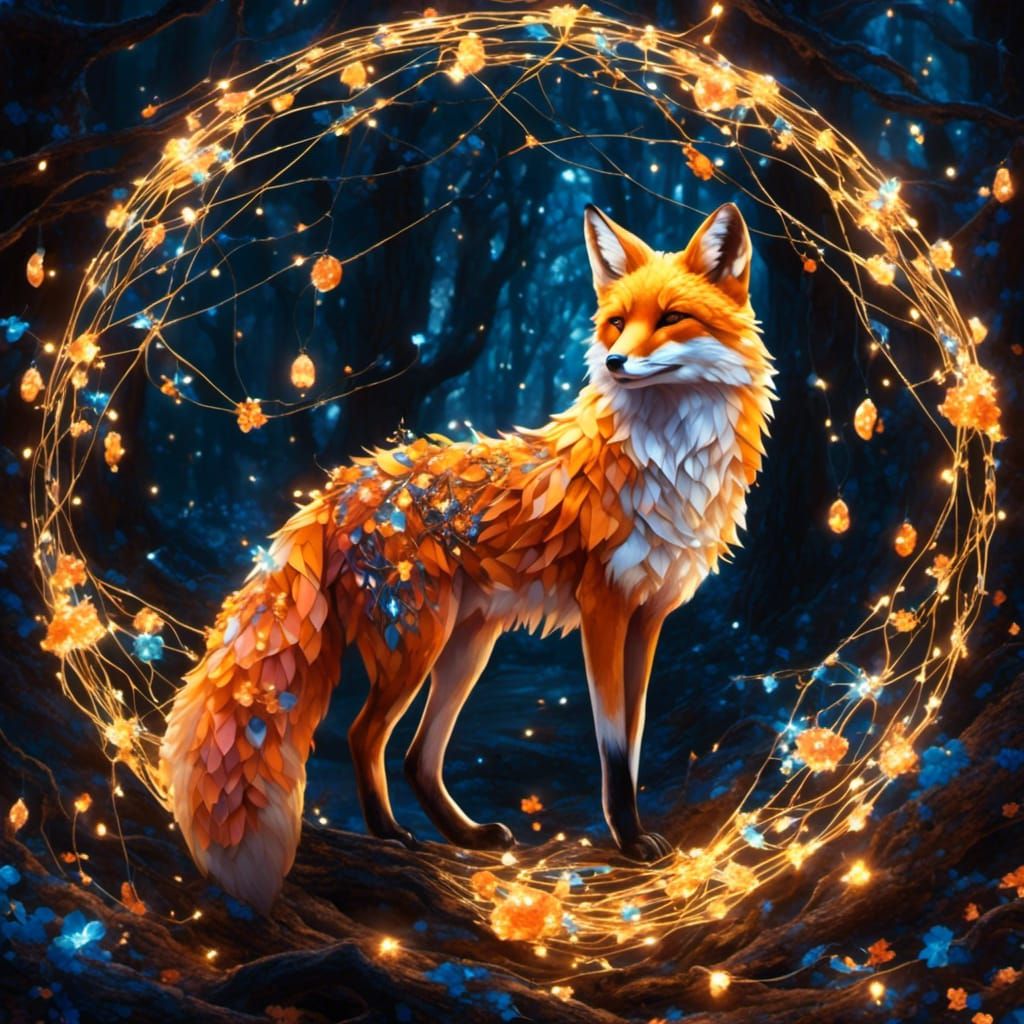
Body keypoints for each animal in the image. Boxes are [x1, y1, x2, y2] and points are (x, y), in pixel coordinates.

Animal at [160, 202, 776, 912]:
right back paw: (392, 834)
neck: (664, 462)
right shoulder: (603, 609)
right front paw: (628, 841)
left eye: (672, 318)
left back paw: (466, 835)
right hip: (416, 640)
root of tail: (345, 484)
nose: (616, 360)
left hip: (467, 644)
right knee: (364, 736)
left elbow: (637, 736)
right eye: (617, 322)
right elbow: (614, 745)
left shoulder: (648, 617)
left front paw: (632, 831)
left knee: (417, 757)